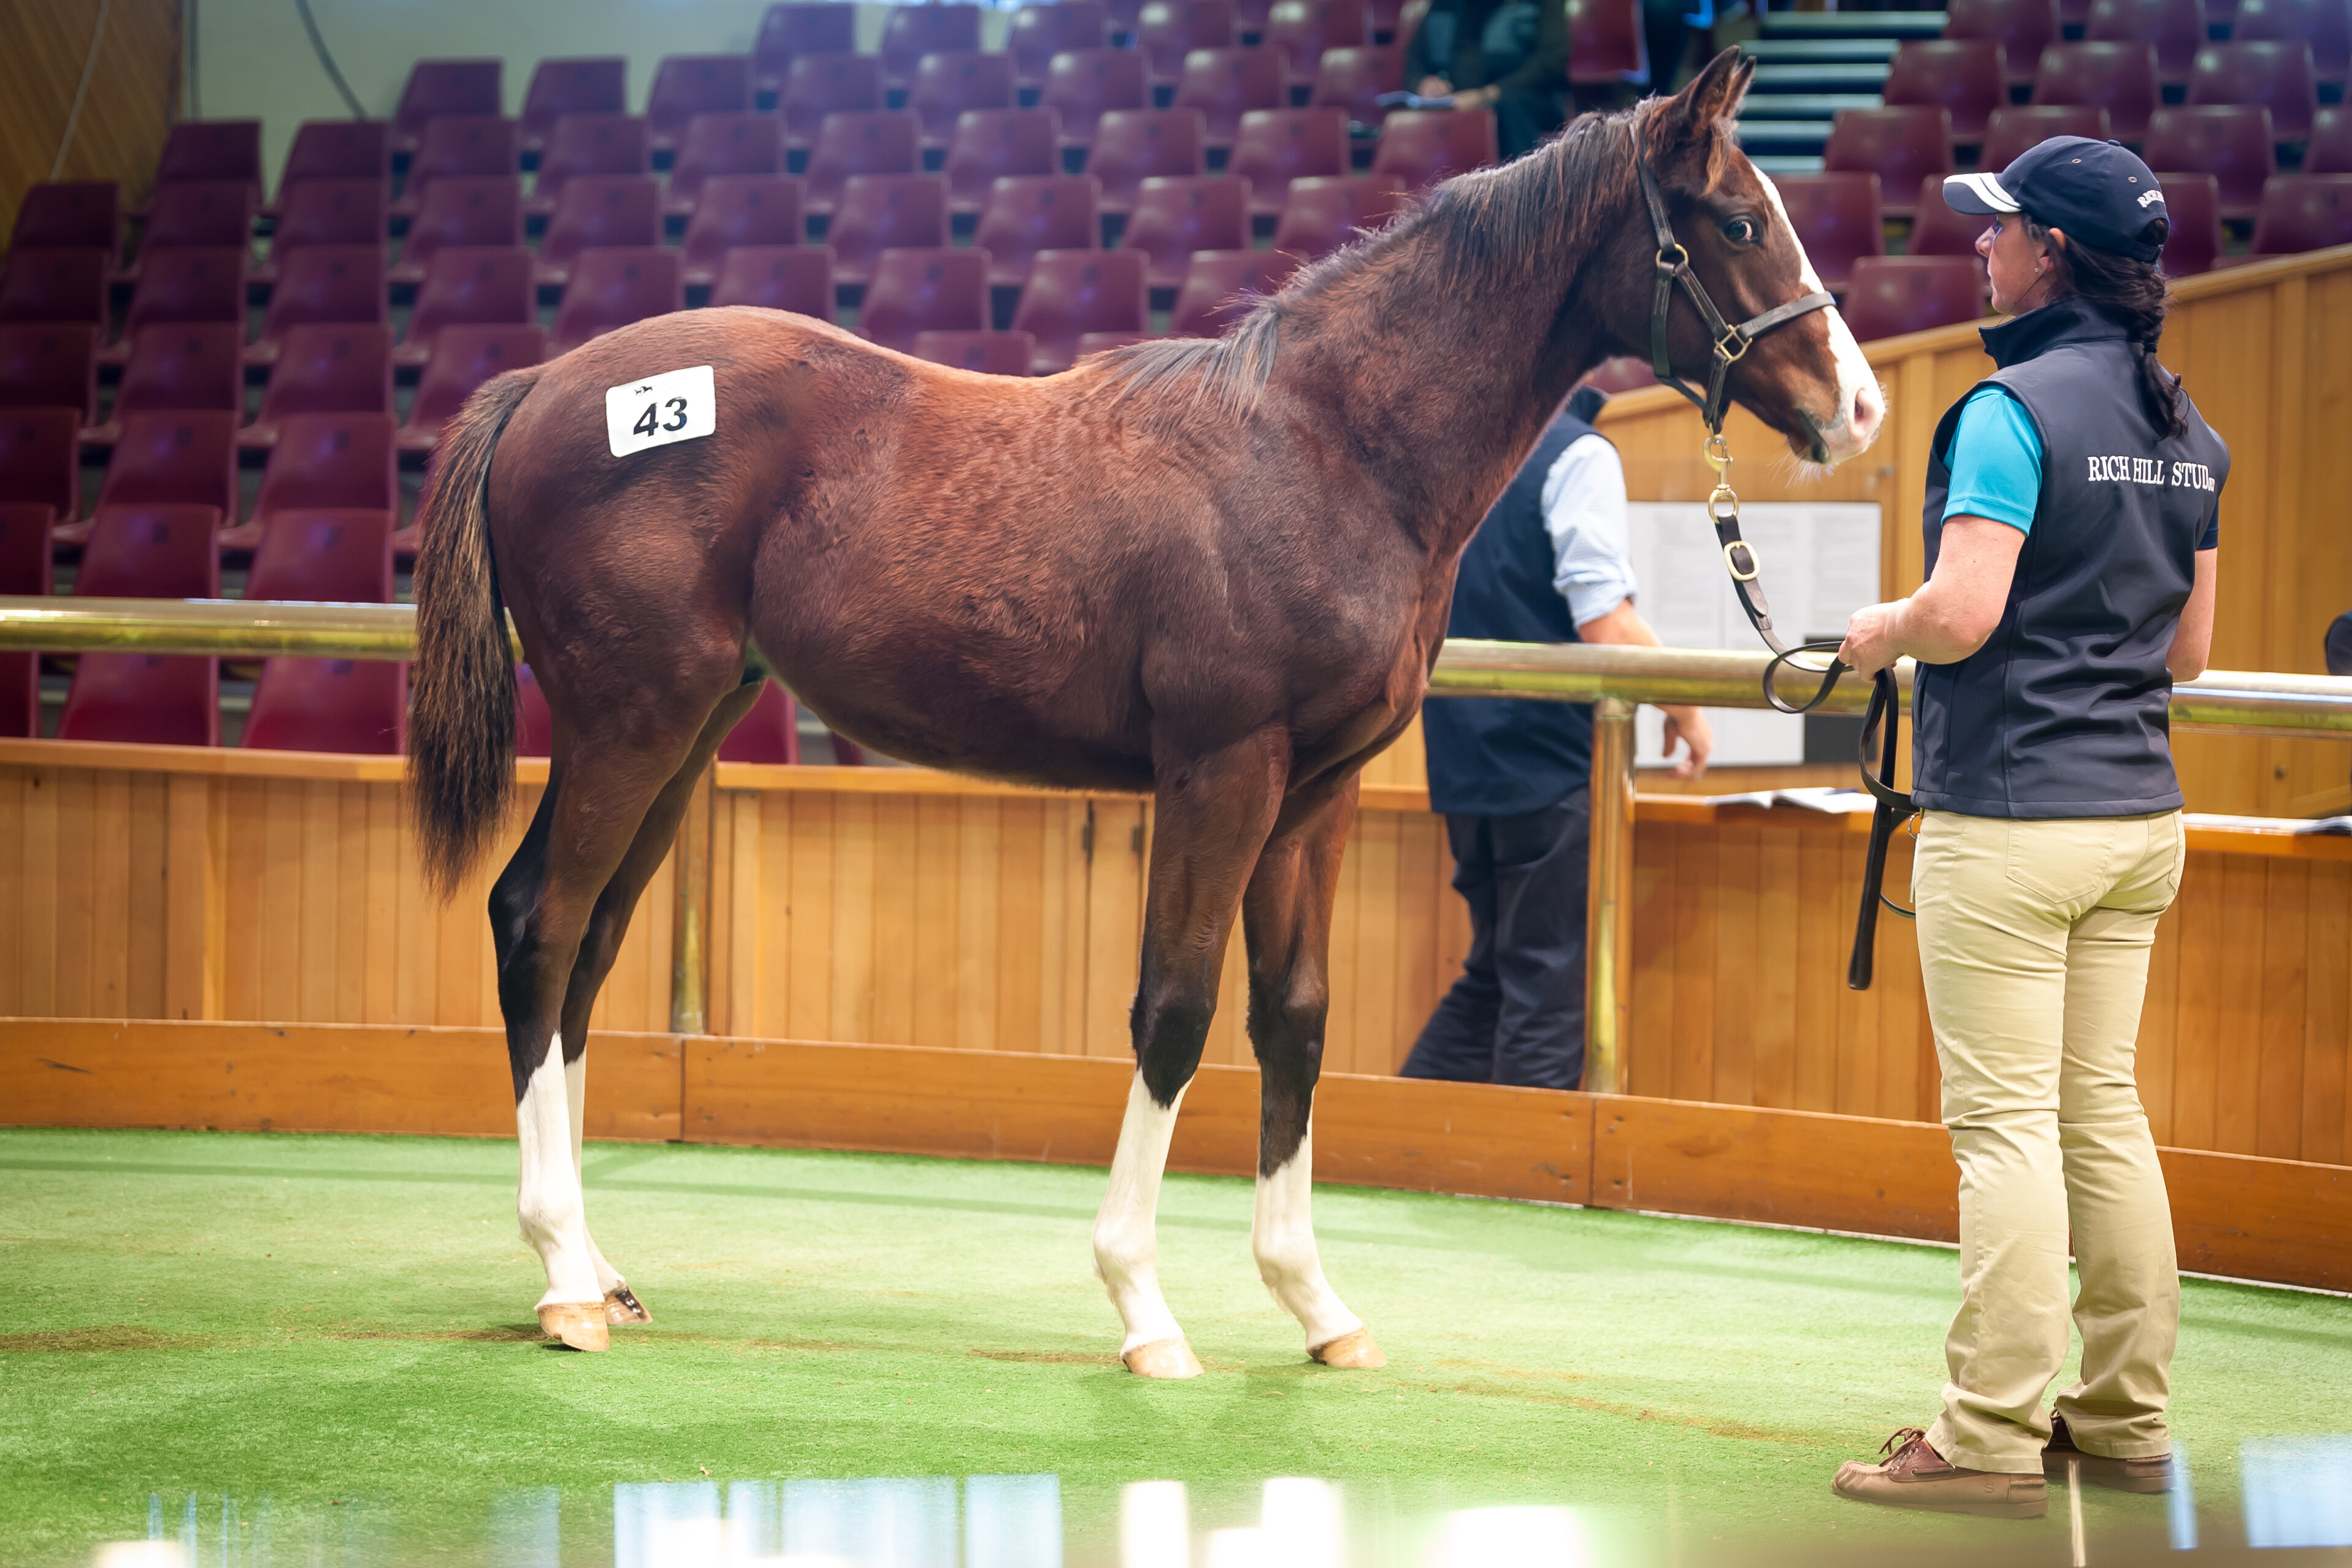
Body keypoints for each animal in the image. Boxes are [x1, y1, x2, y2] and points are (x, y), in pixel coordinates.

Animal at [399, 55, 1872, 1363]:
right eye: (1738, 221)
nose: (1856, 409)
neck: (1329, 451)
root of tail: (540, 388)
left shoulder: (1315, 795)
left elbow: (1296, 1017)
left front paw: (1314, 1305)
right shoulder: (1222, 773)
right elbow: (1175, 1006)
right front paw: (1144, 1308)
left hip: (689, 728)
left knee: (589, 948)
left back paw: (598, 1271)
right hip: (628, 721)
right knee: (537, 924)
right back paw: (562, 1282)